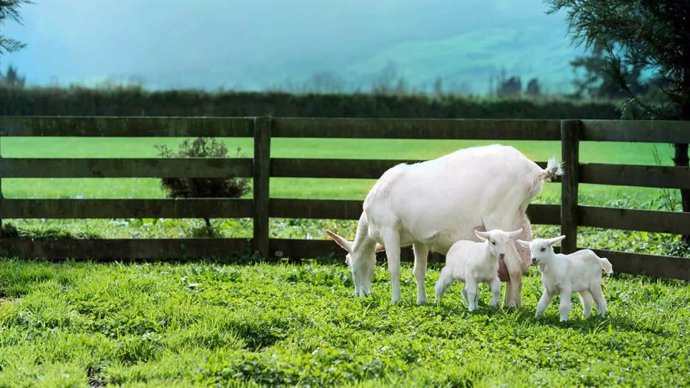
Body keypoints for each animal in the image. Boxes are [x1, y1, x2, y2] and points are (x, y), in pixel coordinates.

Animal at [324, 144, 560, 304]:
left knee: (515, 268)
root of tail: (534, 172)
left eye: (349, 262)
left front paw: (396, 300)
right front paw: (421, 300)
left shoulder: (390, 230)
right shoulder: (418, 239)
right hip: (517, 218)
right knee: (519, 265)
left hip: (499, 220)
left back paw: (510, 306)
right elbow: (419, 270)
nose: (361, 295)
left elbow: (394, 268)